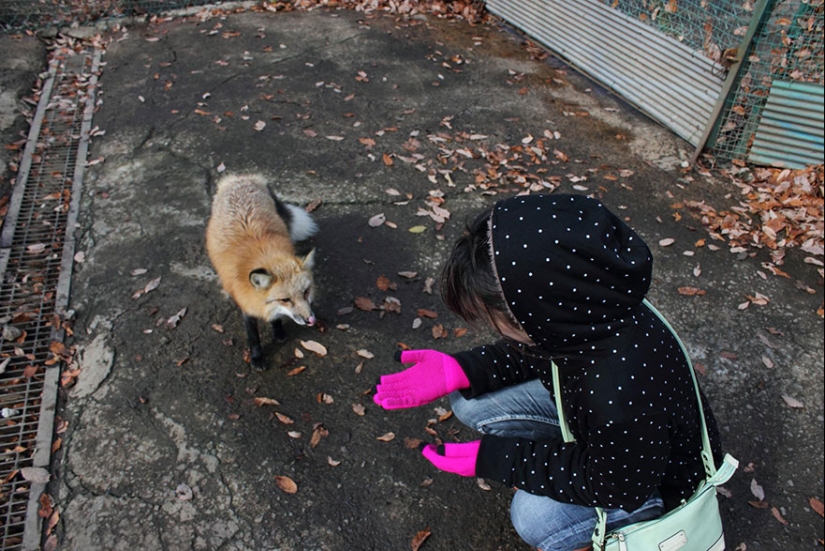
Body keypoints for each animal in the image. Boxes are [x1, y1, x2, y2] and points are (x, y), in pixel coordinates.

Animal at [206, 172, 318, 370]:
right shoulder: (246, 302)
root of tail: (239, 178)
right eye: (285, 300)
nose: (310, 320)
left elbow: (276, 317)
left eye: (306, 292)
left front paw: (278, 331)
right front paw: (257, 357)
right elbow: (253, 336)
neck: (266, 256)